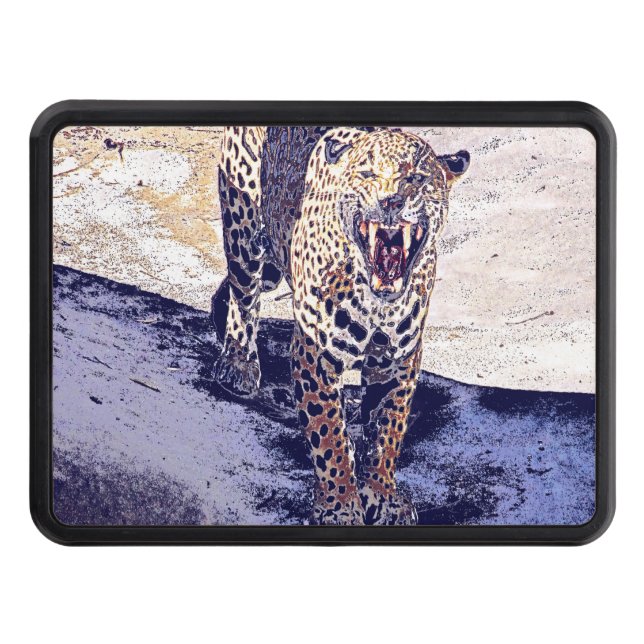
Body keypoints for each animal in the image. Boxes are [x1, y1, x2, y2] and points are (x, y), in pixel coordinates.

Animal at [211, 125, 469, 525]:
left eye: (416, 178)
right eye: (367, 174)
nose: (391, 202)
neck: (377, 302)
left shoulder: (398, 361)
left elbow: (386, 430)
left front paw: (383, 495)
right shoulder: (316, 354)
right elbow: (328, 432)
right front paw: (340, 505)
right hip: (244, 224)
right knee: (244, 290)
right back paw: (238, 361)